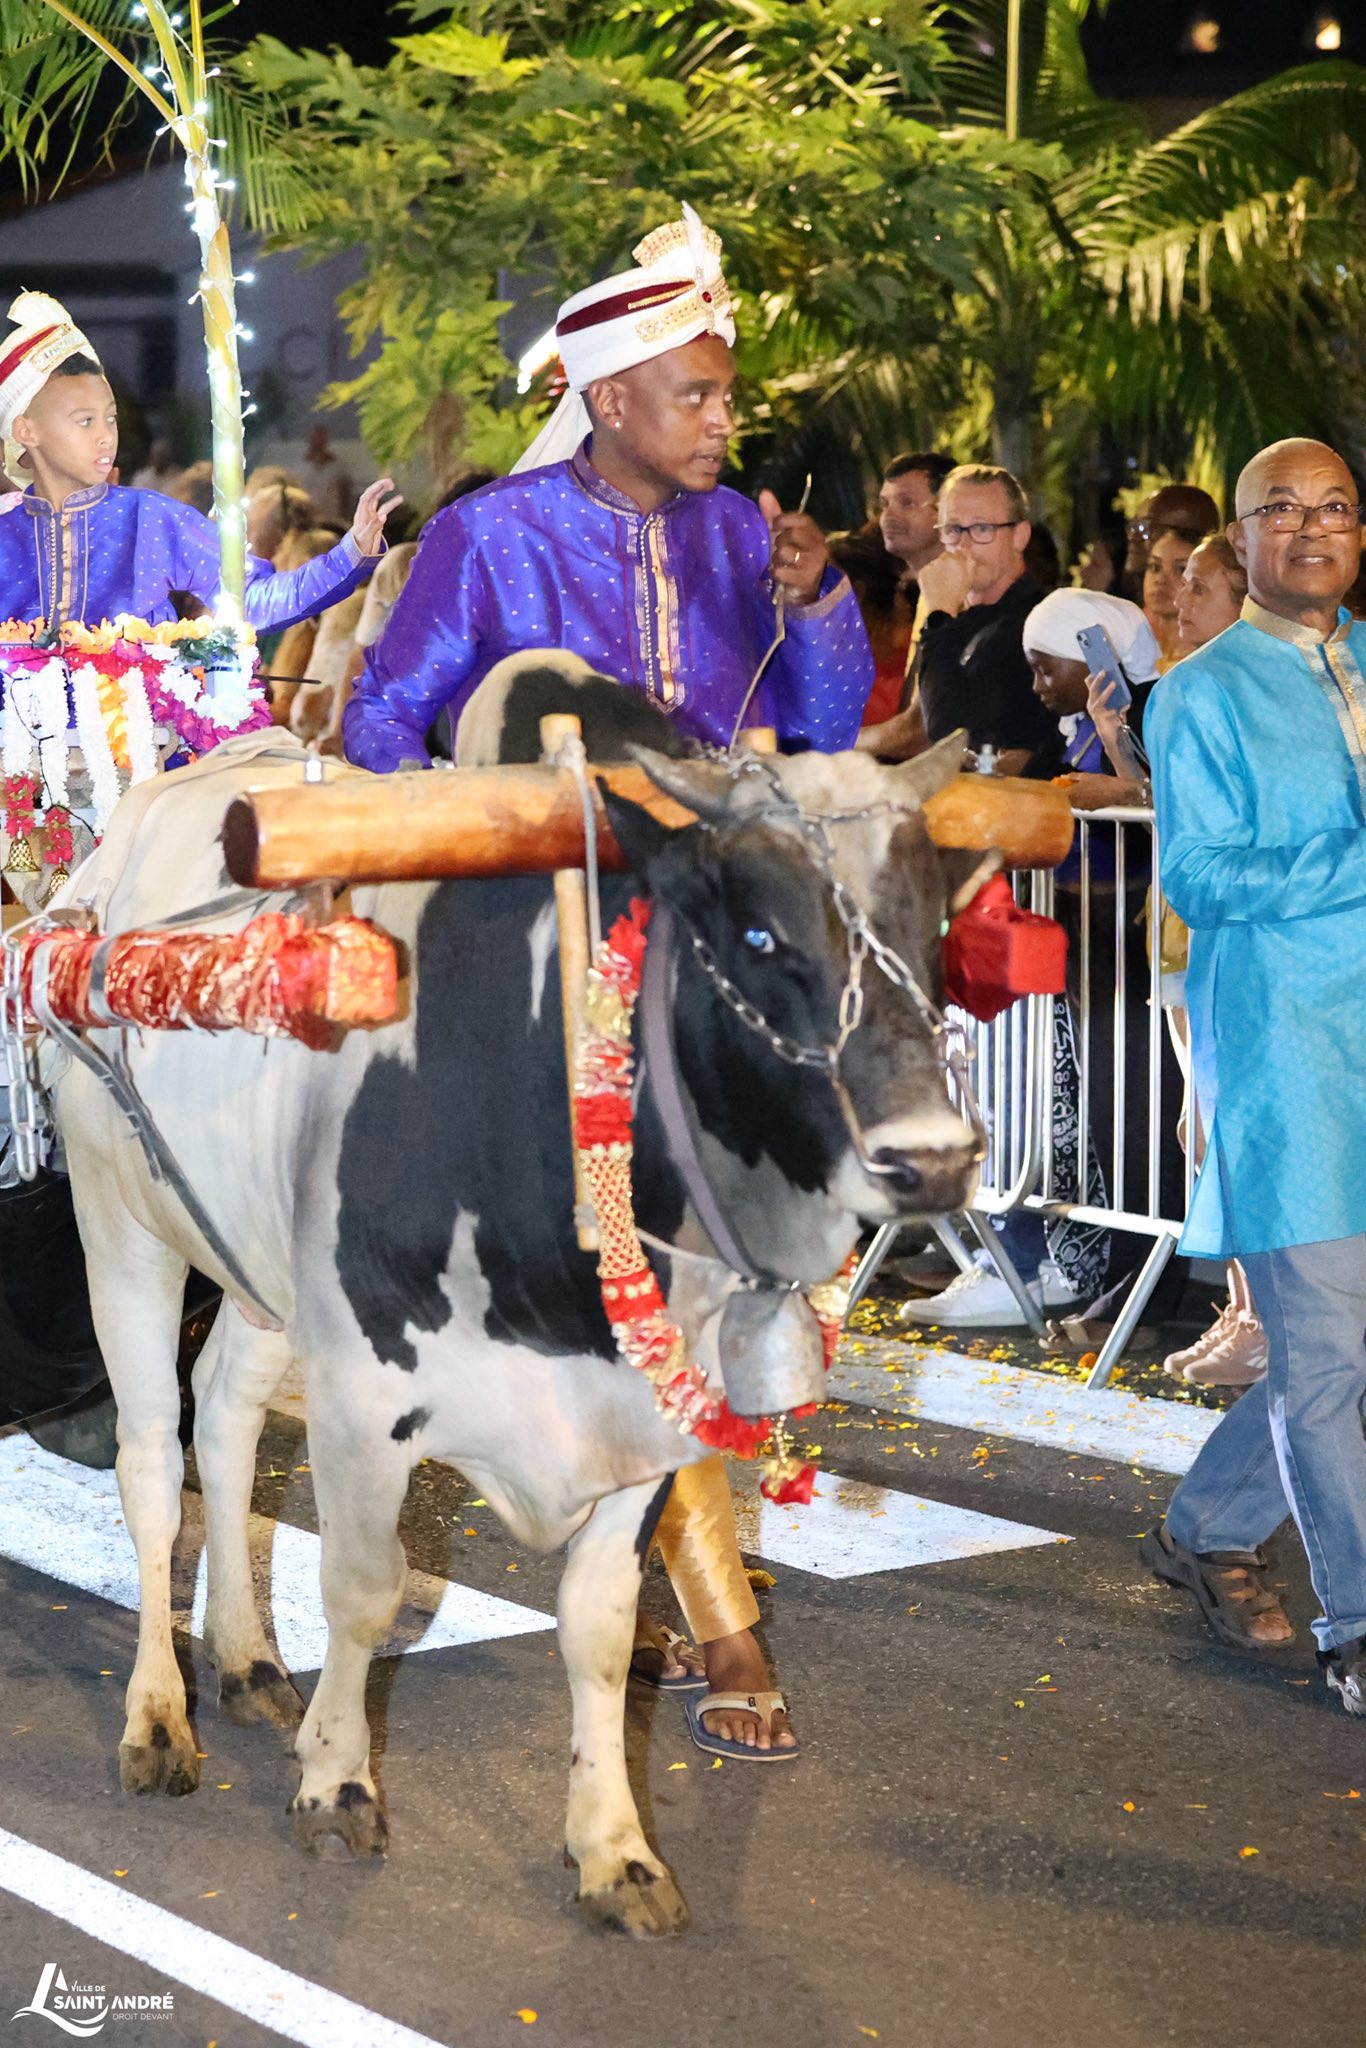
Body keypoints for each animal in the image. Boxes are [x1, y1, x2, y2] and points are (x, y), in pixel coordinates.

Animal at [51, 655, 991, 1937]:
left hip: (258, 1270)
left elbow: (596, 1627)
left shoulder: (645, 1424)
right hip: (123, 1224)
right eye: (755, 929)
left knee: (228, 1417)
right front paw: (337, 1782)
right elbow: (365, 1590)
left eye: (929, 922)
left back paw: (244, 1658)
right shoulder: (362, 1393)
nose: (932, 1158)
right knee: (153, 1459)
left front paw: (615, 1847)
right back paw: (158, 1714)